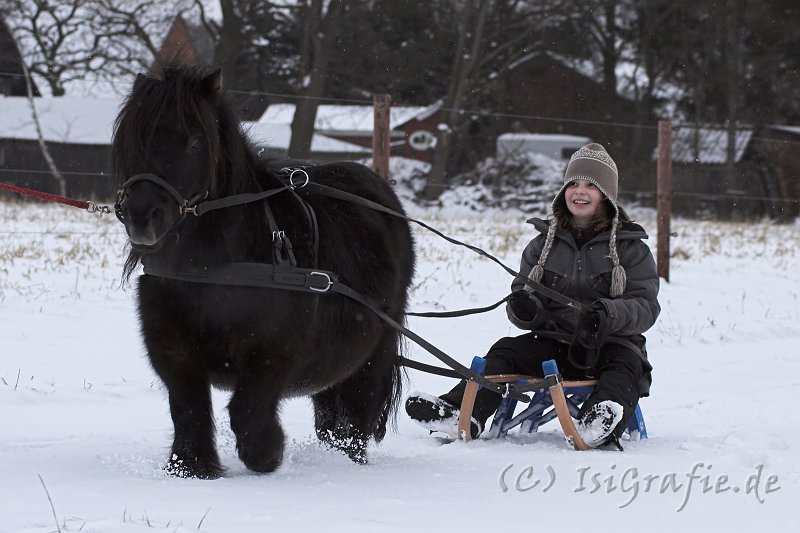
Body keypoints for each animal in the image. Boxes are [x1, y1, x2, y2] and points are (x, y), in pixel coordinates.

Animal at [113, 63, 418, 478]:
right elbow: (189, 409)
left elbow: (247, 410)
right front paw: (193, 468)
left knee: (356, 413)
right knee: (332, 414)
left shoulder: (274, 351)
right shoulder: (172, 349)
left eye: (195, 143)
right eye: (136, 138)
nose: (142, 217)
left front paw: (266, 455)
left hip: (376, 349)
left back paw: (346, 462)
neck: (214, 266)